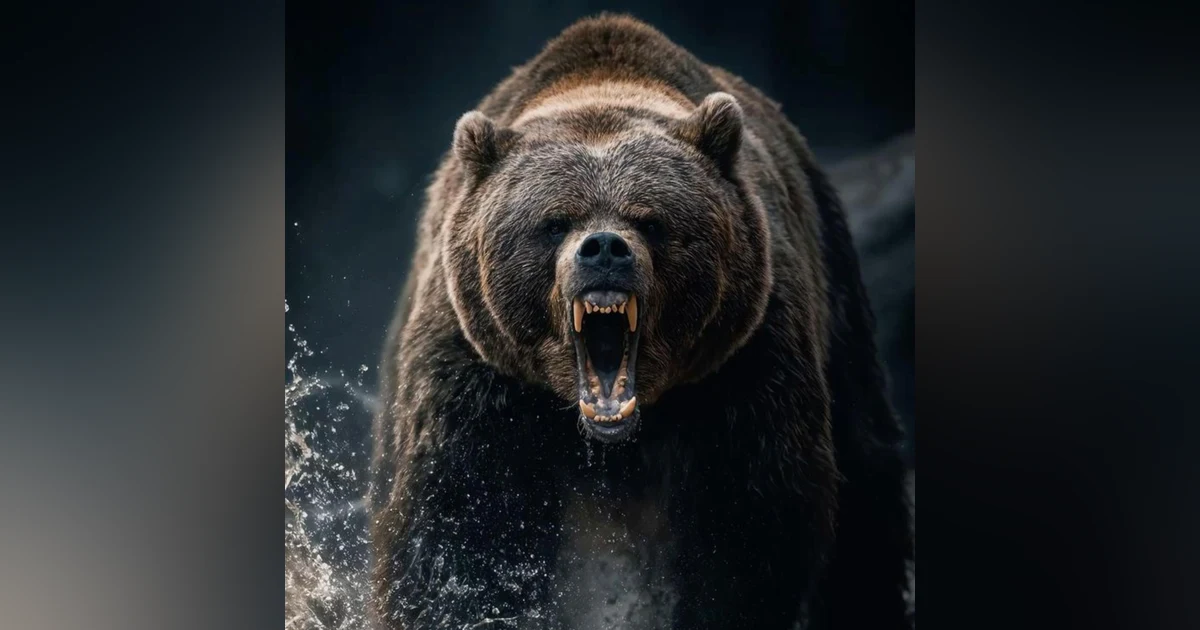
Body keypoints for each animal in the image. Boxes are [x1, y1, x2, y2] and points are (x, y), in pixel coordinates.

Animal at [369, 14, 912, 630]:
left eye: (651, 220)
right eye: (555, 222)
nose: (604, 248)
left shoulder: (746, 364)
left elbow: (747, 531)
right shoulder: (481, 376)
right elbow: (461, 528)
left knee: (867, 487)